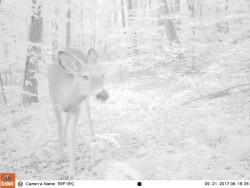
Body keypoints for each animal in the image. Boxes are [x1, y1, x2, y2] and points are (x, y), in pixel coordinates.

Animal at [47, 47, 108, 179]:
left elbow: (73, 135)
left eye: (103, 75)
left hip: (85, 100)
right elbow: (58, 129)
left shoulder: (76, 107)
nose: (104, 94)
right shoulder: (54, 104)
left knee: (88, 111)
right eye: (85, 77)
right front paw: (60, 157)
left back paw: (93, 136)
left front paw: (70, 173)